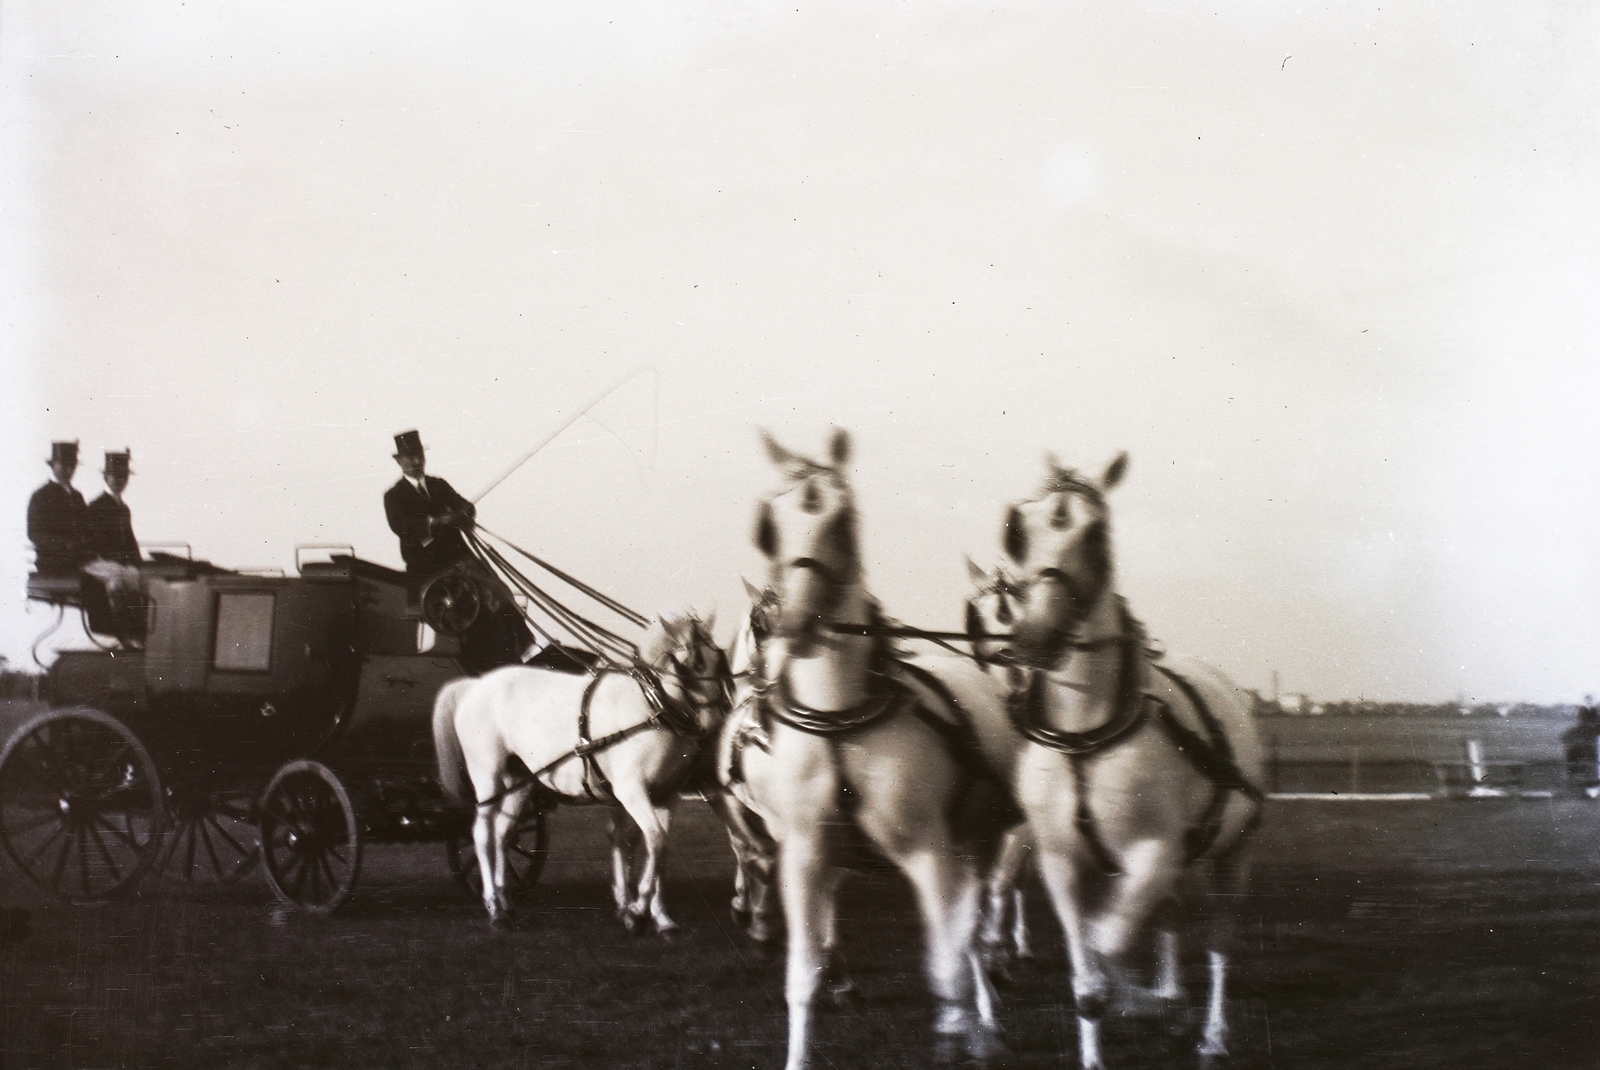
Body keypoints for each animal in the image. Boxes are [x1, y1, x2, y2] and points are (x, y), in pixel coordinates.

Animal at [438, 614, 736, 927]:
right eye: (695, 664)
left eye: (720, 659)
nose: (715, 723)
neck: (651, 709)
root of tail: (475, 685)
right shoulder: (630, 791)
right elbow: (653, 839)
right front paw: (638, 909)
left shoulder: (667, 796)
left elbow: (660, 848)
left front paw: (661, 916)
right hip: (487, 774)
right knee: (482, 833)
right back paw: (494, 907)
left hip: (520, 779)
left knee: (502, 834)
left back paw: (505, 902)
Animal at [720, 428, 1017, 1068]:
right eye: (768, 525)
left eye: (843, 520)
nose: (799, 623)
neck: (838, 720)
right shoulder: (804, 853)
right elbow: (801, 974)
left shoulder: (929, 849)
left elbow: (948, 965)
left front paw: (966, 1030)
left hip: (979, 838)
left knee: (973, 925)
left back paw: (986, 1013)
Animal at [998, 454, 1260, 1068]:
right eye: (1019, 529)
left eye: (1097, 533)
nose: (1035, 638)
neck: (1084, 737)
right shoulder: (1062, 862)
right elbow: (1090, 975)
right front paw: (1114, 1026)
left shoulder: (1155, 850)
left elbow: (1109, 938)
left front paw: (1148, 1005)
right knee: (1168, 916)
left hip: (1232, 852)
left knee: (1218, 938)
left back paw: (1211, 1032)